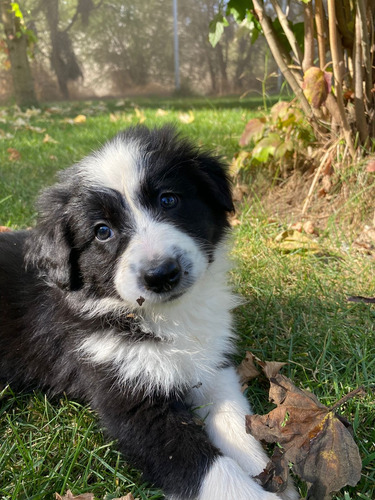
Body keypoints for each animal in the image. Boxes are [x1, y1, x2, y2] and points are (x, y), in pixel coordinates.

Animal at [0, 126, 300, 500]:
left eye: (168, 200)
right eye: (102, 231)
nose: (161, 274)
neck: (169, 315)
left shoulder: (210, 365)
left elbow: (233, 417)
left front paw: (270, 474)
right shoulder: (127, 395)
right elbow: (206, 468)